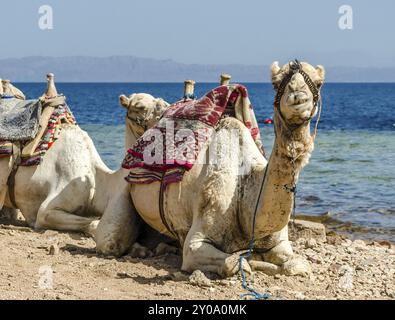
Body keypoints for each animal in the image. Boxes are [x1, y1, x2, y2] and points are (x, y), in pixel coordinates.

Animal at [116, 61, 326, 276]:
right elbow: (234, 264)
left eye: (318, 83)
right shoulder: (196, 243)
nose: (298, 98)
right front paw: (253, 261)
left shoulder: (280, 242)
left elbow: (298, 265)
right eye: (276, 83)